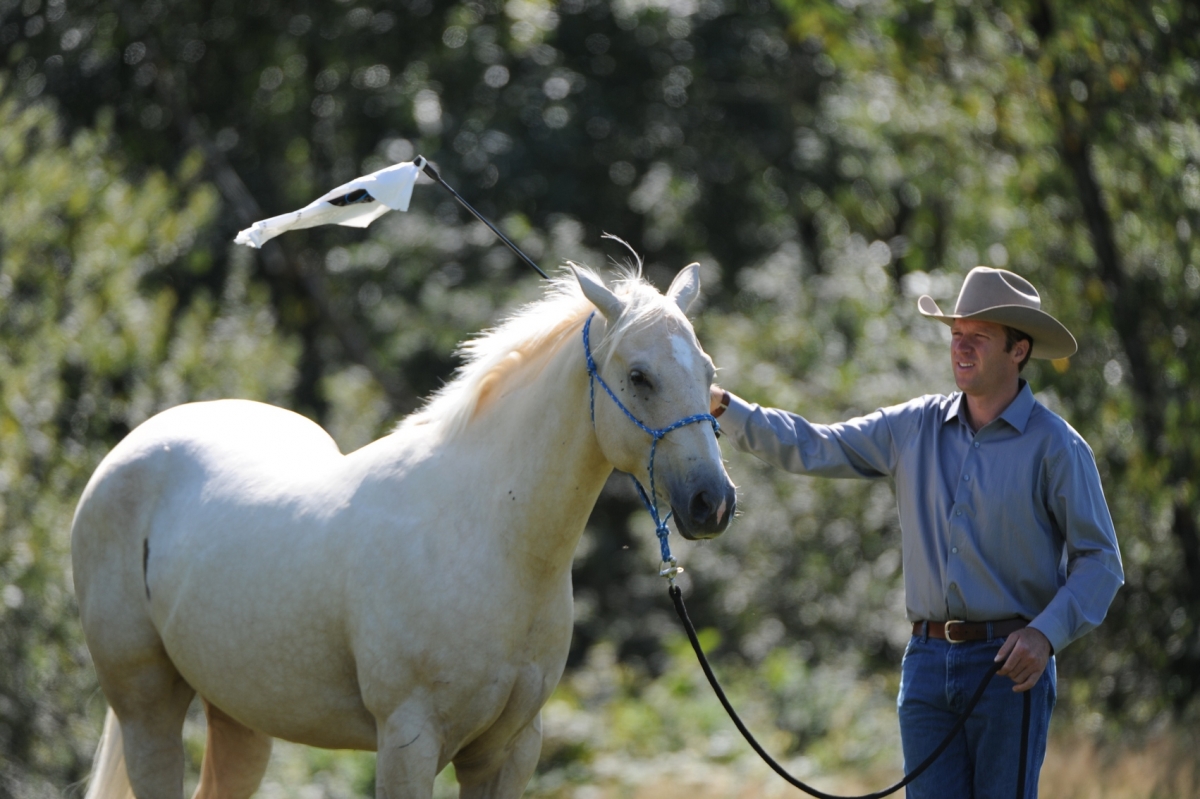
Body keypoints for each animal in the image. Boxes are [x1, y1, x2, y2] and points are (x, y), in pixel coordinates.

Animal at [71, 264, 737, 799]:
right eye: (640, 376)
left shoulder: (510, 750)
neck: (492, 541)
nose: (713, 503)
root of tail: (133, 450)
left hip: (239, 714)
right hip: (147, 708)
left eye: (707, 373)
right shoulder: (407, 744)